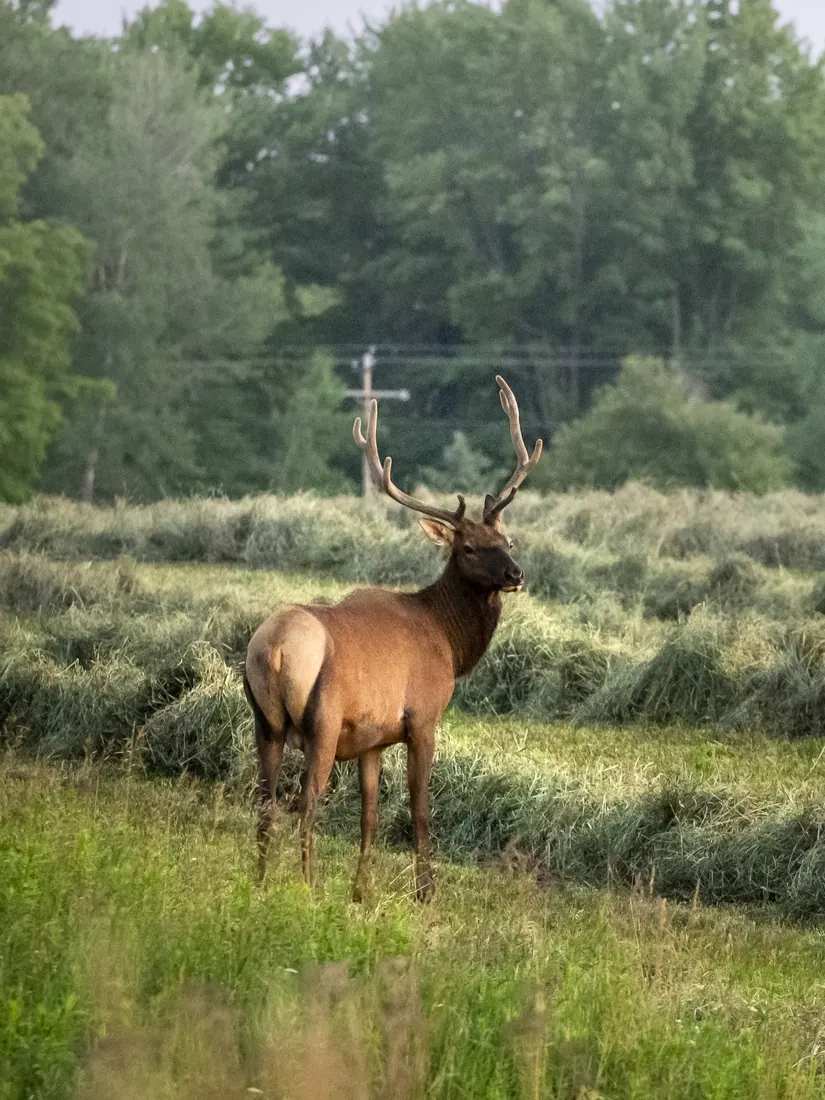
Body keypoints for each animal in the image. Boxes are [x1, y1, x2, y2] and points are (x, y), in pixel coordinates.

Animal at [244, 376, 542, 902]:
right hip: (321, 721)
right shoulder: (421, 718)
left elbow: (370, 817)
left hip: (266, 721)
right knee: (307, 803)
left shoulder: (371, 740)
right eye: (468, 548)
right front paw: (426, 893)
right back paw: (307, 886)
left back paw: (260, 883)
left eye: (506, 541)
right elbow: (419, 810)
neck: (448, 643)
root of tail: (275, 648)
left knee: (266, 799)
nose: (515, 574)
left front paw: (361, 893)